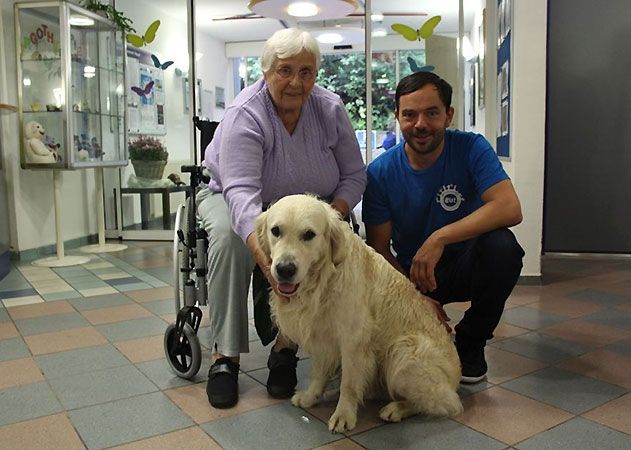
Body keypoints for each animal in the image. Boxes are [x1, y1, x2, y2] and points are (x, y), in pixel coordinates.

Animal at [253, 194, 464, 432]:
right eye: (276, 231)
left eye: (309, 235)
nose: (284, 269)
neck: (322, 281)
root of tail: (456, 378)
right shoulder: (321, 337)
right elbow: (319, 374)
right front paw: (310, 397)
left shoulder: (353, 341)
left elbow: (349, 384)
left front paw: (343, 415)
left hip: (403, 353)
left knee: (441, 403)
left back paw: (396, 409)